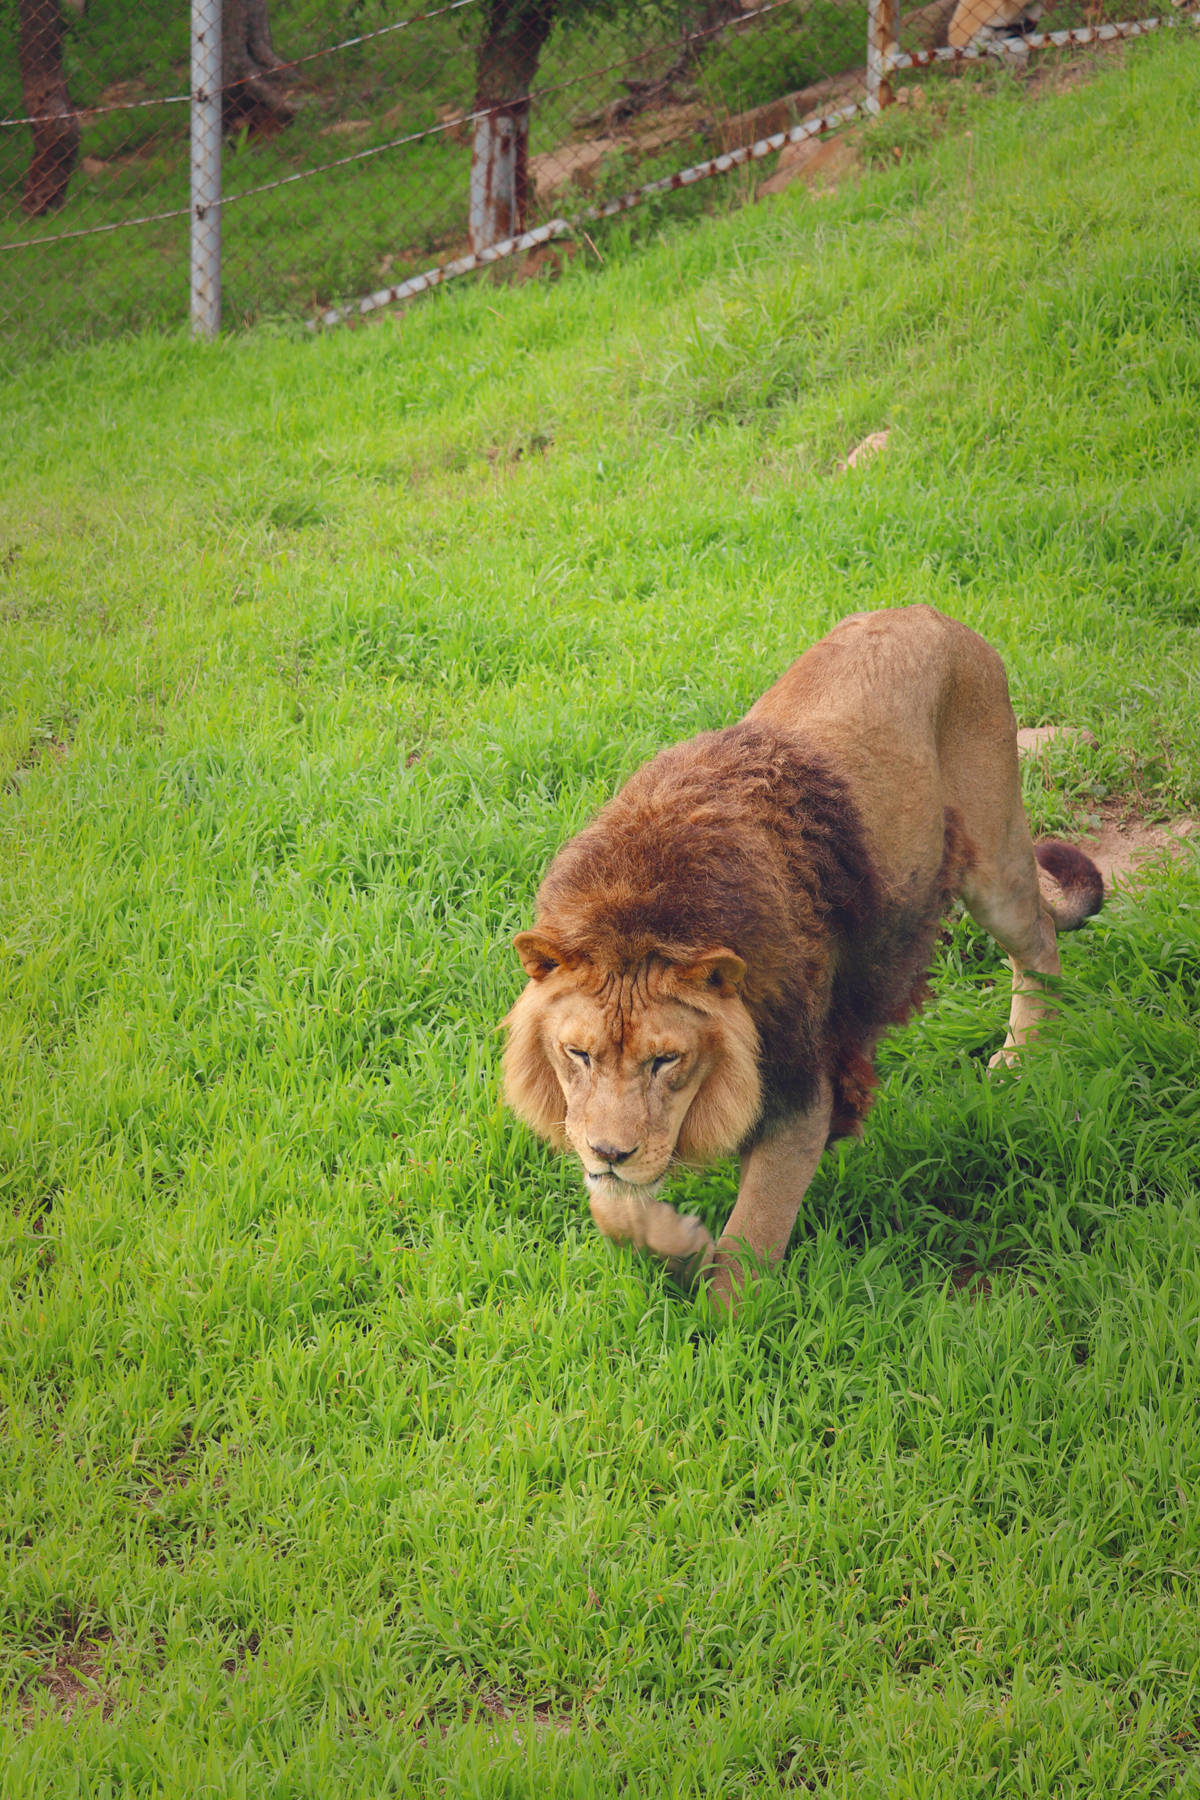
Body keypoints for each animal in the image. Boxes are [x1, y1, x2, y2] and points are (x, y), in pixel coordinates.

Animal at [503, 604, 1101, 1310]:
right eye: (578, 1054)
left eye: (666, 1061)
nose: (608, 1152)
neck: (642, 917)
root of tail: (927, 612)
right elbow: (613, 1205)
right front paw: (674, 1241)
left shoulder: (801, 1087)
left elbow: (753, 1231)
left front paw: (726, 1325)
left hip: (993, 865)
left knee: (1040, 935)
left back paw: (1025, 1052)